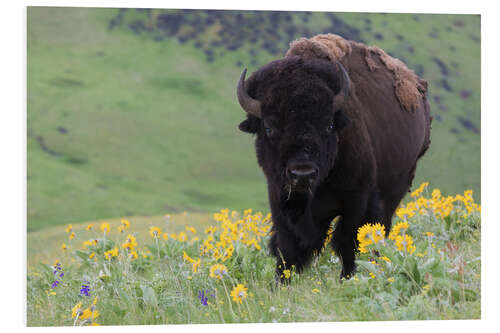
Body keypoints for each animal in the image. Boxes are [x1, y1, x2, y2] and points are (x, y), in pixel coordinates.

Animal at [236, 34, 432, 280]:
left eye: (329, 125)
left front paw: (349, 279)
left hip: (395, 189)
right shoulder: (280, 201)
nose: (302, 173)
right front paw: (280, 282)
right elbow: (287, 249)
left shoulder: (357, 201)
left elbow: (349, 243)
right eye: (269, 128)